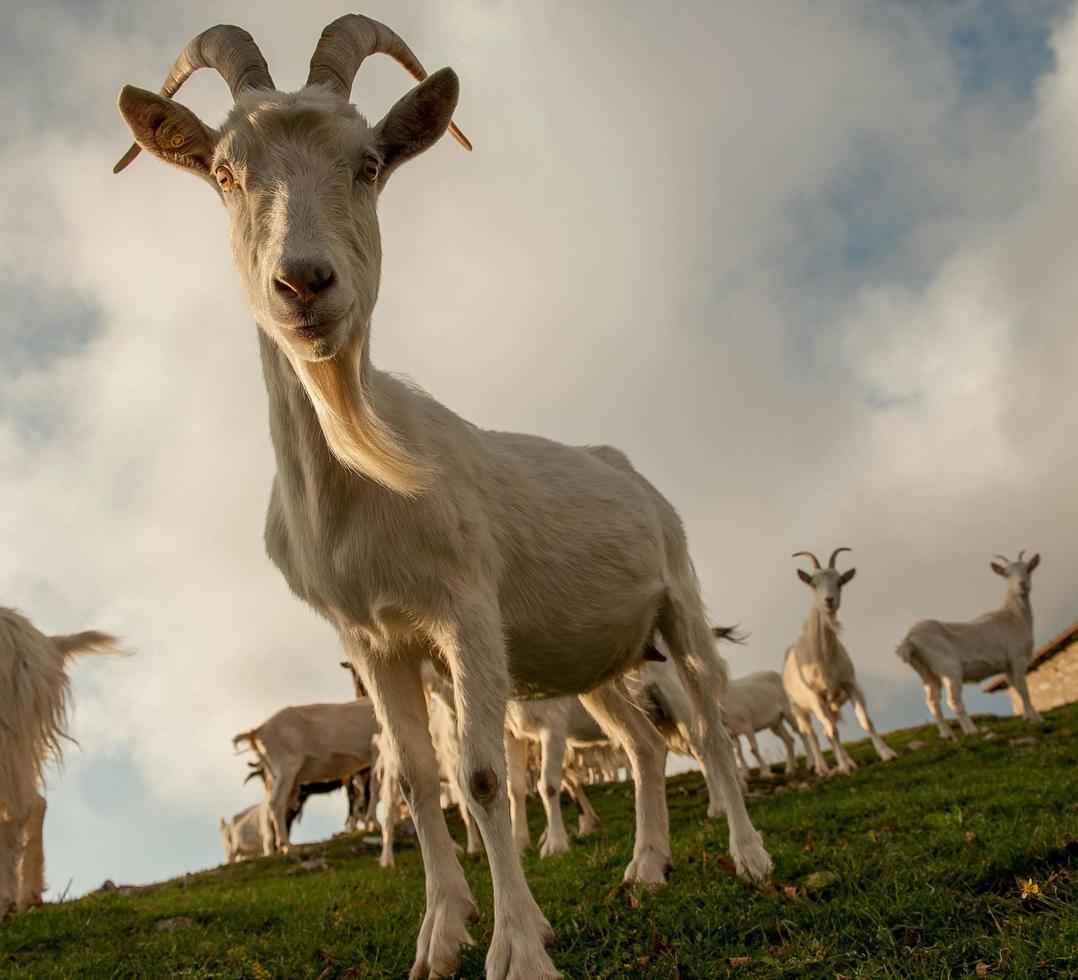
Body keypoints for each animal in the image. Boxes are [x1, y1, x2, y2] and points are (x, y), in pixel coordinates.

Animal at [0, 608, 128, 914]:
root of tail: (46, 642)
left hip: (9, 732)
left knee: (19, 810)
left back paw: (6, 901)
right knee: (34, 802)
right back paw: (28, 896)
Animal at [232, 698, 379, 853]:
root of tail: (256, 732)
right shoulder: (376, 750)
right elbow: (375, 787)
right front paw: (374, 824)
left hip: (276, 776)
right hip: (287, 769)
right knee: (276, 804)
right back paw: (287, 846)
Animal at [780, 549, 896, 771]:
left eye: (840, 581)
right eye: (813, 583)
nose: (829, 600)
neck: (823, 656)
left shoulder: (850, 684)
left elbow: (865, 721)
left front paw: (886, 753)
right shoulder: (815, 696)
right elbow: (831, 731)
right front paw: (844, 767)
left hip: (830, 704)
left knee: (826, 729)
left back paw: (846, 760)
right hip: (798, 707)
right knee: (812, 733)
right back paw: (821, 767)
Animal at [896, 547, 1039, 737]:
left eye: (1028, 569)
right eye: (1007, 574)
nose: (1022, 585)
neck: (1014, 618)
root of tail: (910, 639)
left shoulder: (1006, 666)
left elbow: (1016, 687)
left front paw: (1030, 717)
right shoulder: (1017, 658)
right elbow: (1023, 690)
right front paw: (1036, 719)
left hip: (926, 673)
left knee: (932, 702)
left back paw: (948, 735)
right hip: (948, 668)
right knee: (953, 700)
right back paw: (971, 730)